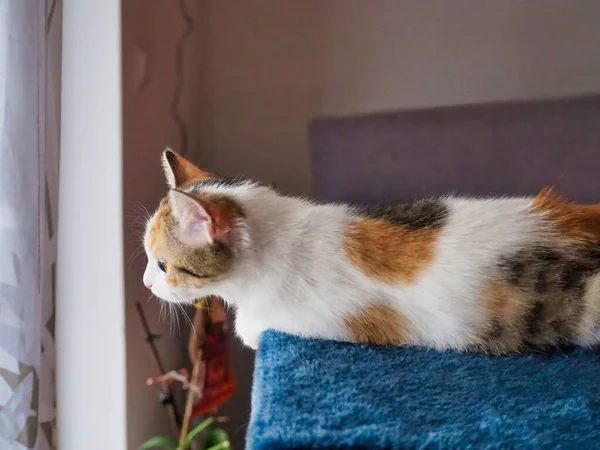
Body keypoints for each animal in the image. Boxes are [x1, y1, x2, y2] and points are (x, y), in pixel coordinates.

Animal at [143, 149, 600, 354]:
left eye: (163, 264)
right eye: (149, 260)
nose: (147, 283)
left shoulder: (329, 318)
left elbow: (254, 326)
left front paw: (249, 328)